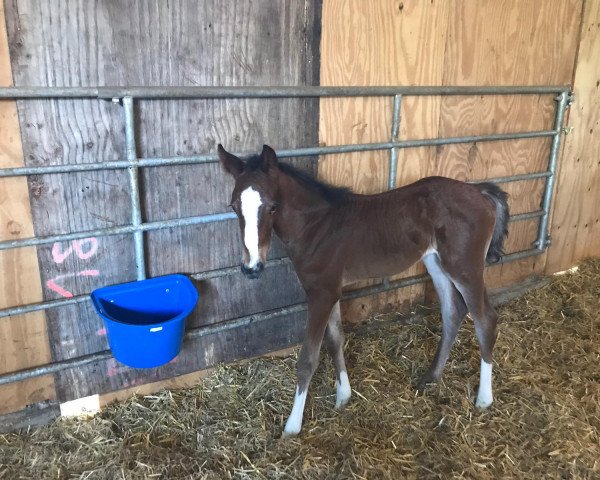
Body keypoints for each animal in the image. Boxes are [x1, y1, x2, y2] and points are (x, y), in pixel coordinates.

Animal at [218, 143, 508, 438]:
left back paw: (484, 399)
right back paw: (430, 377)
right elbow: (336, 339)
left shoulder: (320, 294)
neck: (315, 226)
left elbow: (308, 358)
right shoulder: (331, 290)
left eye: (273, 207)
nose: (252, 267)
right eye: (234, 206)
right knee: (452, 311)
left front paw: (292, 426)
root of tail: (479, 191)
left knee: (485, 319)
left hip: (465, 267)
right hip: (435, 261)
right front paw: (343, 396)